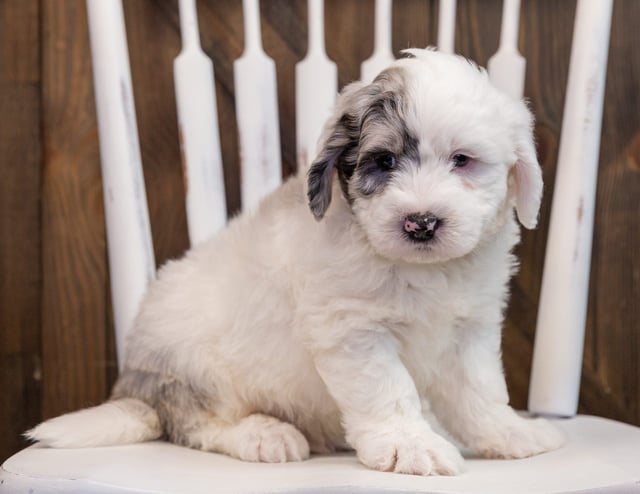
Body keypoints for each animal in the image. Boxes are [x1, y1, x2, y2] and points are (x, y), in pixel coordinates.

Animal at [30, 49, 564, 474]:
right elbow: (388, 391)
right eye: (384, 162)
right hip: (194, 364)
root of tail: (136, 389)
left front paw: (510, 433)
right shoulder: (354, 332)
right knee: (198, 423)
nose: (421, 222)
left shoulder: (468, 331)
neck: (422, 269)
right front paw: (410, 447)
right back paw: (264, 433)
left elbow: (480, 391)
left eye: (462, 160)